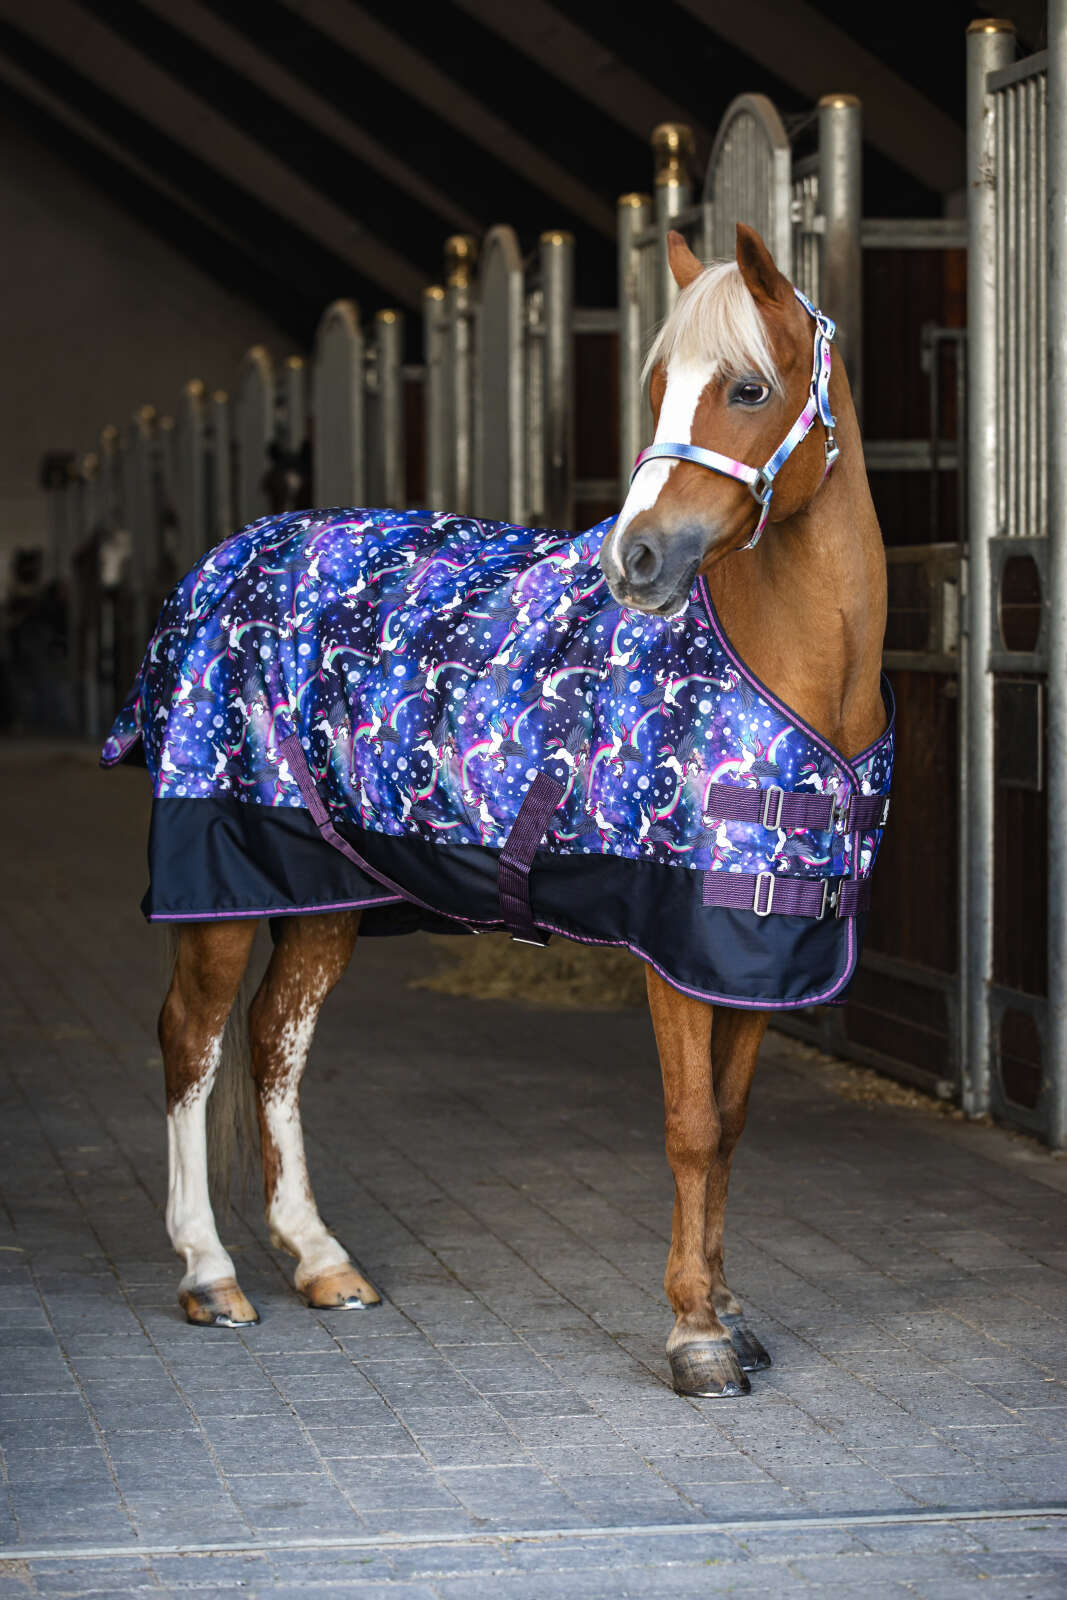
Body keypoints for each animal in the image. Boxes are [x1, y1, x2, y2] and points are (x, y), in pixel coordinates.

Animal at [112, 223, 888, 1400]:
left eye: (748, 388)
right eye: (654, 386)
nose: (635, 559)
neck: (791, 668)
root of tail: (222, 564)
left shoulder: (758, 947)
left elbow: (733, 1123)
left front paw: (728, 1306)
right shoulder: (674, 944)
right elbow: (691, 1126)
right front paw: (694, 1333)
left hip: (327, 889)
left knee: (274, 1038)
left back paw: (319, 1259)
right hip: (225, 873)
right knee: (191, 1042)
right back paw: (210, 1272)